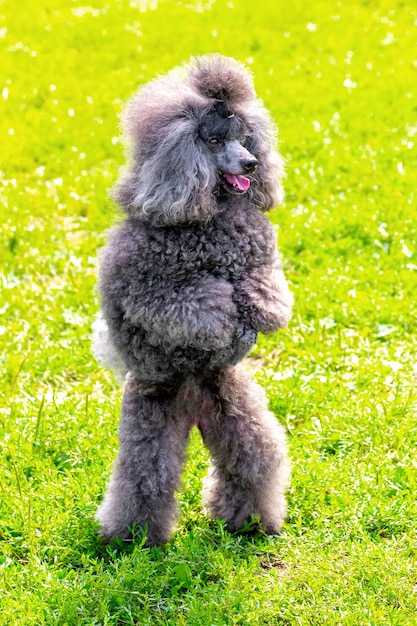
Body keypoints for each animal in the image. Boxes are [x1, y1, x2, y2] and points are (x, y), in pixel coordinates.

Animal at [92, 57, 290, 544]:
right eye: (214, 141)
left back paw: (249, 522)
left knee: (253, 457)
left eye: (245, 137)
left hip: (229, 398)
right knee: (145, 473)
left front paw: (254, 311)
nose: (251, 163)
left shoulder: (262, 255)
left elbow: (266, 288)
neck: (210, 214)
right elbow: (186, 302)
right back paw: (133, 536)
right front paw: (224, 313)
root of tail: (193, 400)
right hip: (154, 404)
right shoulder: (140, 279)